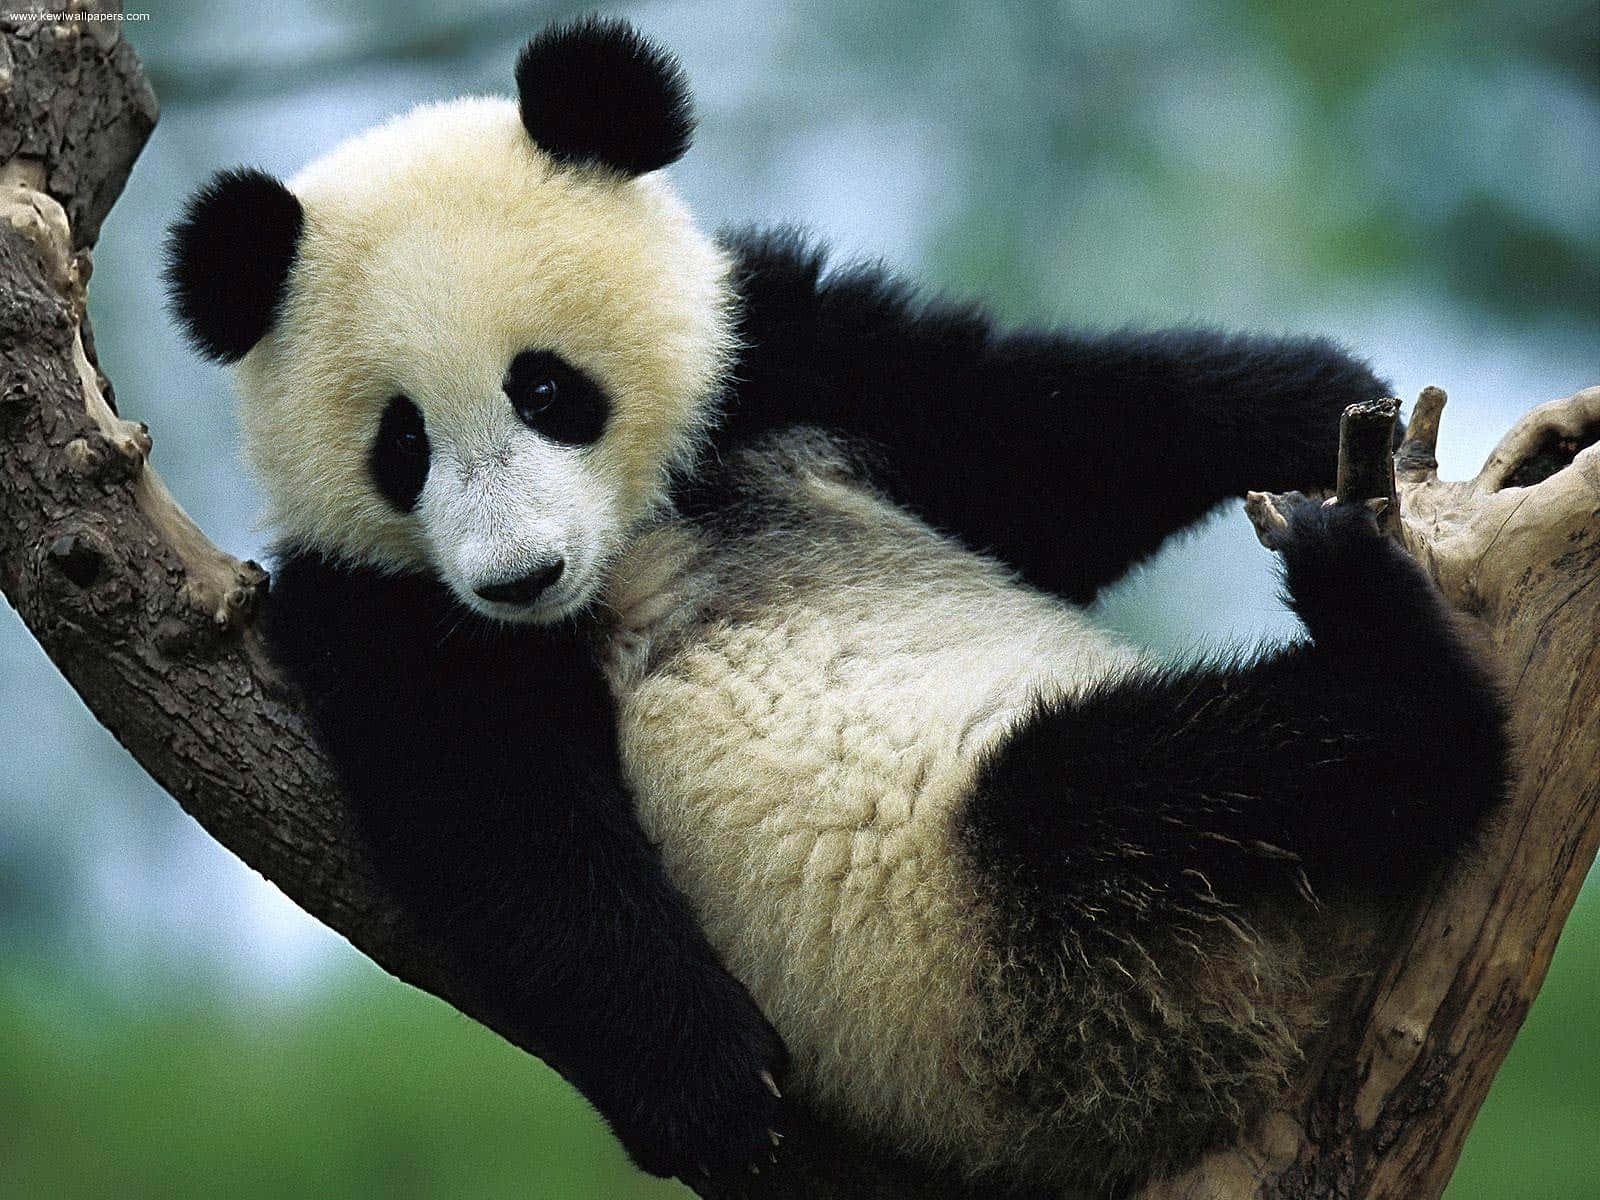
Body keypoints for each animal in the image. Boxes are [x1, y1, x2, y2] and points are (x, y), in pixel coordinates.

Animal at [162, 18, 1510, 1200]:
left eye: (545, 389)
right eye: (403, 445)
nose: (518, 577)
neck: (636, 535)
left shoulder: (782, 363)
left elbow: (1037, 437)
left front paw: (1316, 396)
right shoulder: (380, 607)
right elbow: (498, 816)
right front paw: (705, 1083)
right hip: (1040, 968)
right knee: (1152, 786)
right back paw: (1373, 638)